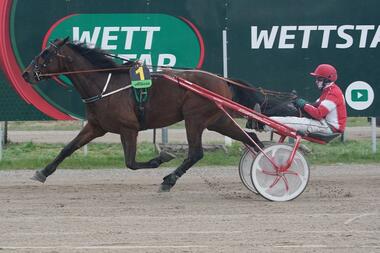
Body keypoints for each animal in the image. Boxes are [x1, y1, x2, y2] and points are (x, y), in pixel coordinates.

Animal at [22, 37, 298, 192]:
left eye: (46, 54)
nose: (25, 74)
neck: (104, 84)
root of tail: (222, 79)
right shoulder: (95, 126)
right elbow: (68, 148)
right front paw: (42, 172)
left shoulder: (129, 128)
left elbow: (131, 163)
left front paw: (161, 158)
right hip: (217, 120)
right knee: (252, 139)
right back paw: (270, 170)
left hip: (195, 118)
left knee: (196, 153)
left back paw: (169, 179)